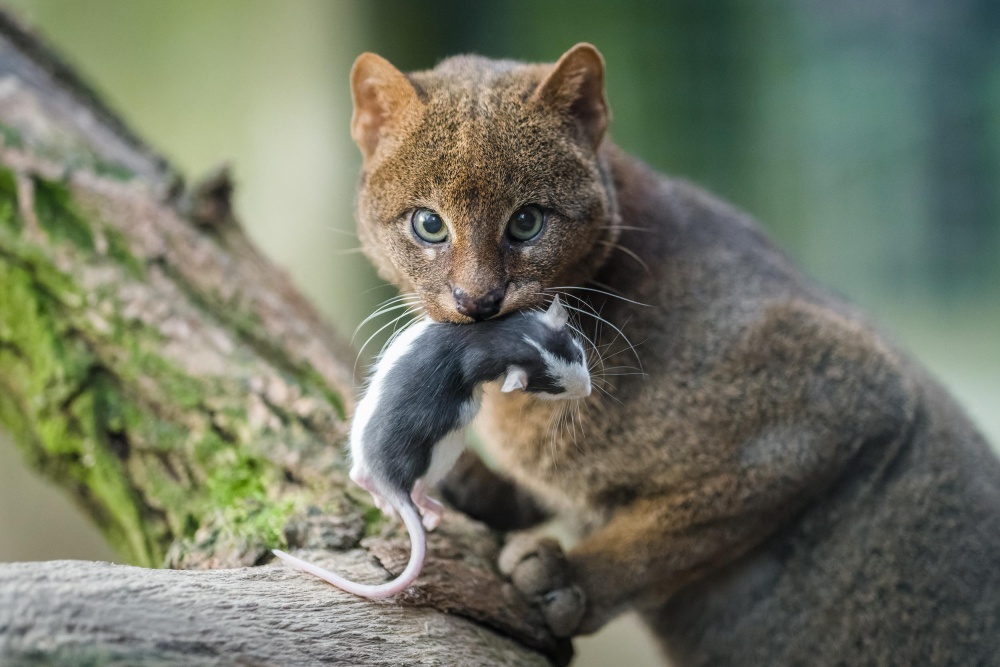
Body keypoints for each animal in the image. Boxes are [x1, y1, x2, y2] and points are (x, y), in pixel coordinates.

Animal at [274, 298, 588, 600]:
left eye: (578, 355)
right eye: (555, 388)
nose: (587, 390)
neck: (501, 338)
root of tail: (391, 481)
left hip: (359, 433)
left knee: (358, 476)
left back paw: (382, 501)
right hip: (442, 455)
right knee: (417, 491)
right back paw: (432, 511)